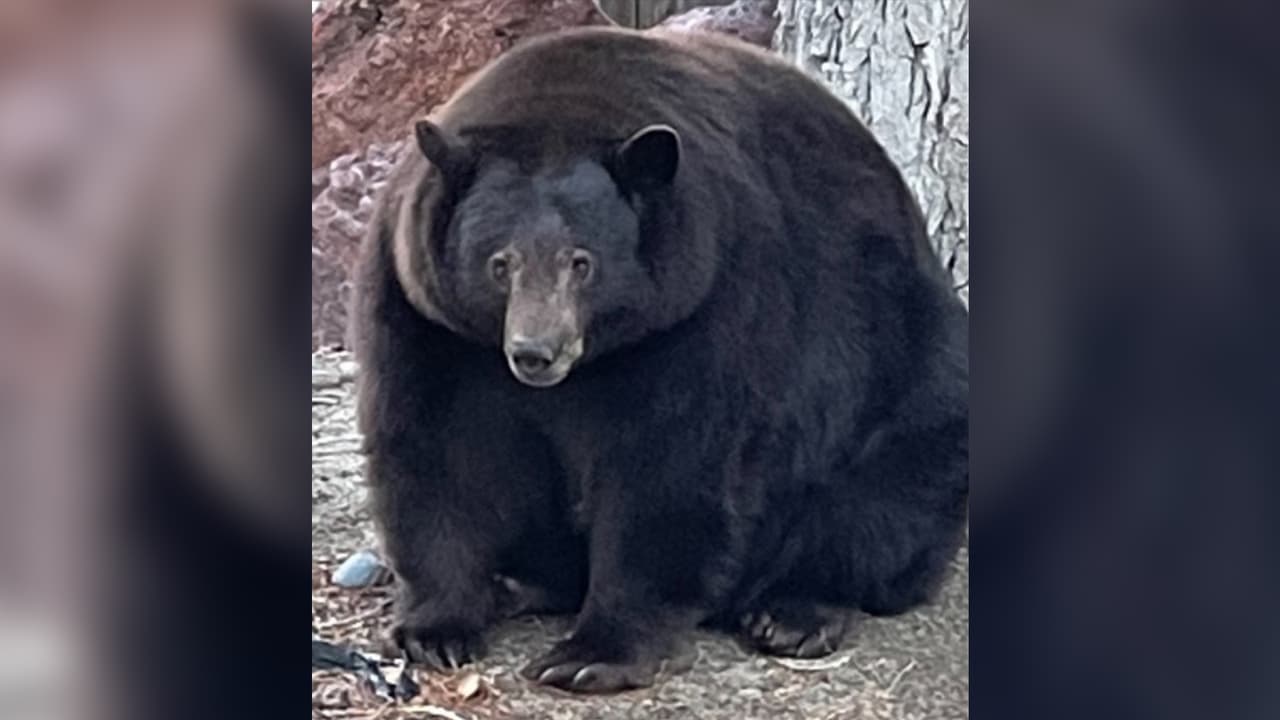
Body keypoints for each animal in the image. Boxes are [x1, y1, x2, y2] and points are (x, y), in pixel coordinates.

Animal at [352, 26, 968, 694]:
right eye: (500, 262)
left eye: (582, 261)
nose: (535, 353)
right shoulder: (427, 315)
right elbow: (439, 448)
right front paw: (436, 629)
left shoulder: (706, 302)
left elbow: (670, 466)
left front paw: (591, 653)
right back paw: (520, 583)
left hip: (903, 370)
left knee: (884, 497)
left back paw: (794, 611)